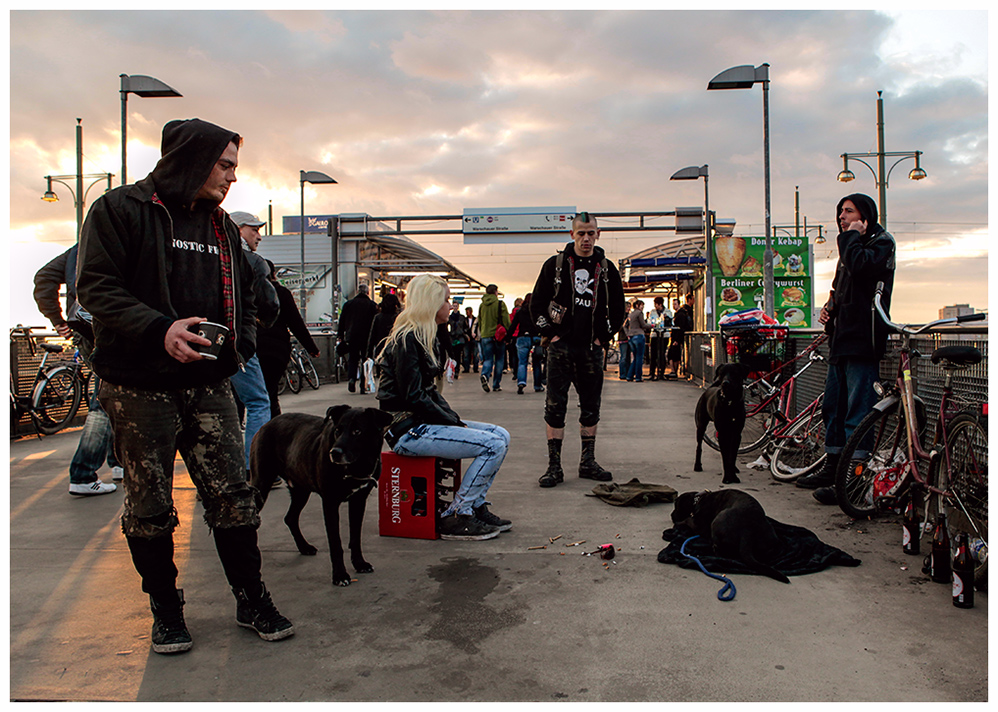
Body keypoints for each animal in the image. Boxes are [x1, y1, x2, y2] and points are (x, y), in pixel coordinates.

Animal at [248, 404, 392, 588]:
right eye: (337, 430)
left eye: (357, 431)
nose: (334, 452)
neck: (356, 466)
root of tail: (266, 424)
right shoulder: (330, 503)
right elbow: (335, 543)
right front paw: (339, 575)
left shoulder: (359, 500)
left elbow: (355, 537)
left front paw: (359, 563)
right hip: (261, 484)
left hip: (301, 490)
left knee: (290, 518)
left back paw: (304, 547)